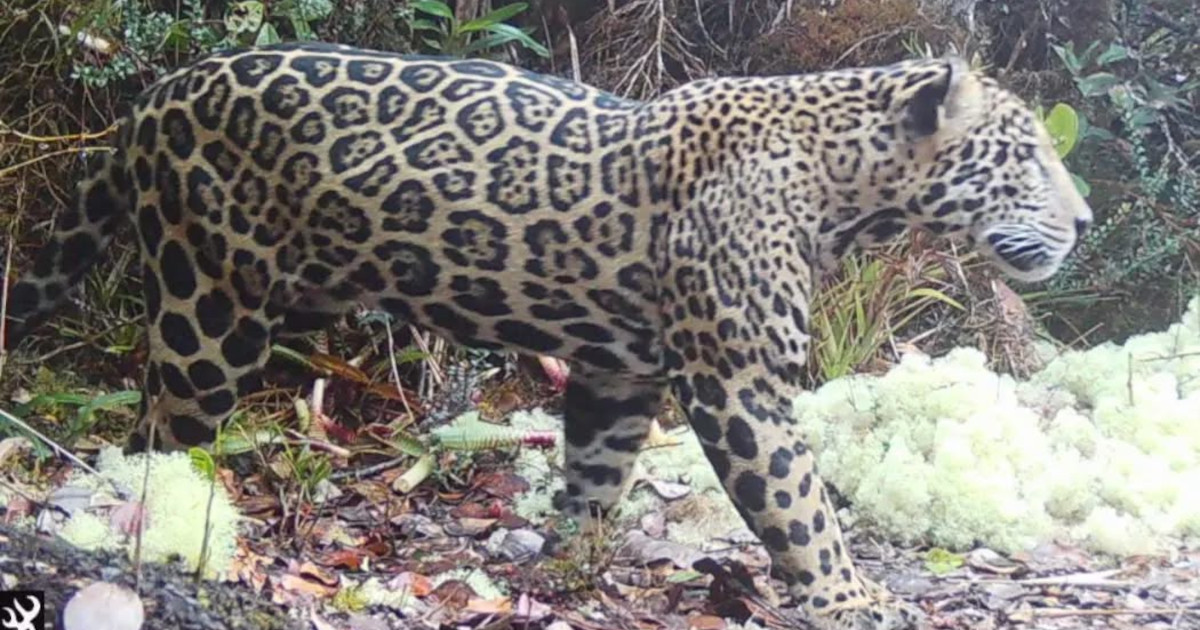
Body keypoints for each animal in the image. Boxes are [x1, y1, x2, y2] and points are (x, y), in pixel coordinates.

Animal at [2, 41, 1092, 630]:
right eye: (1028, 156)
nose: (1083, 222)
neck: (848, 191)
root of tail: (153, 99)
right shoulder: (736, 379)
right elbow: (799, 505)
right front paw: (849, 594)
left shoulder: (619, 371)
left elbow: (597, 474)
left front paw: (572, 565)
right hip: (213, 304)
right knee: (162, 431)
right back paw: (170, 530)